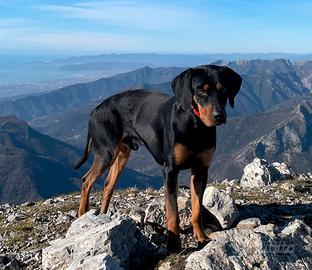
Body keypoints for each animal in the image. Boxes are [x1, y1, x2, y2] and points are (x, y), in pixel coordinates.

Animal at [75, 64, 241, 252]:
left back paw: (103, 217)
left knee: (108, 183)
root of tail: (94, 111)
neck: (195, 125)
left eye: (224, 90)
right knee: (86, 180)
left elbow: (197, 209)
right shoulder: (170, 171)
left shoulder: (200, 171)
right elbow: (173, 214)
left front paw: (201, 237)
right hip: (106, 154)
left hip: (123, 154)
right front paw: (174, 245)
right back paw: (83, 215)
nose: (219, 116)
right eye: (200, 90)